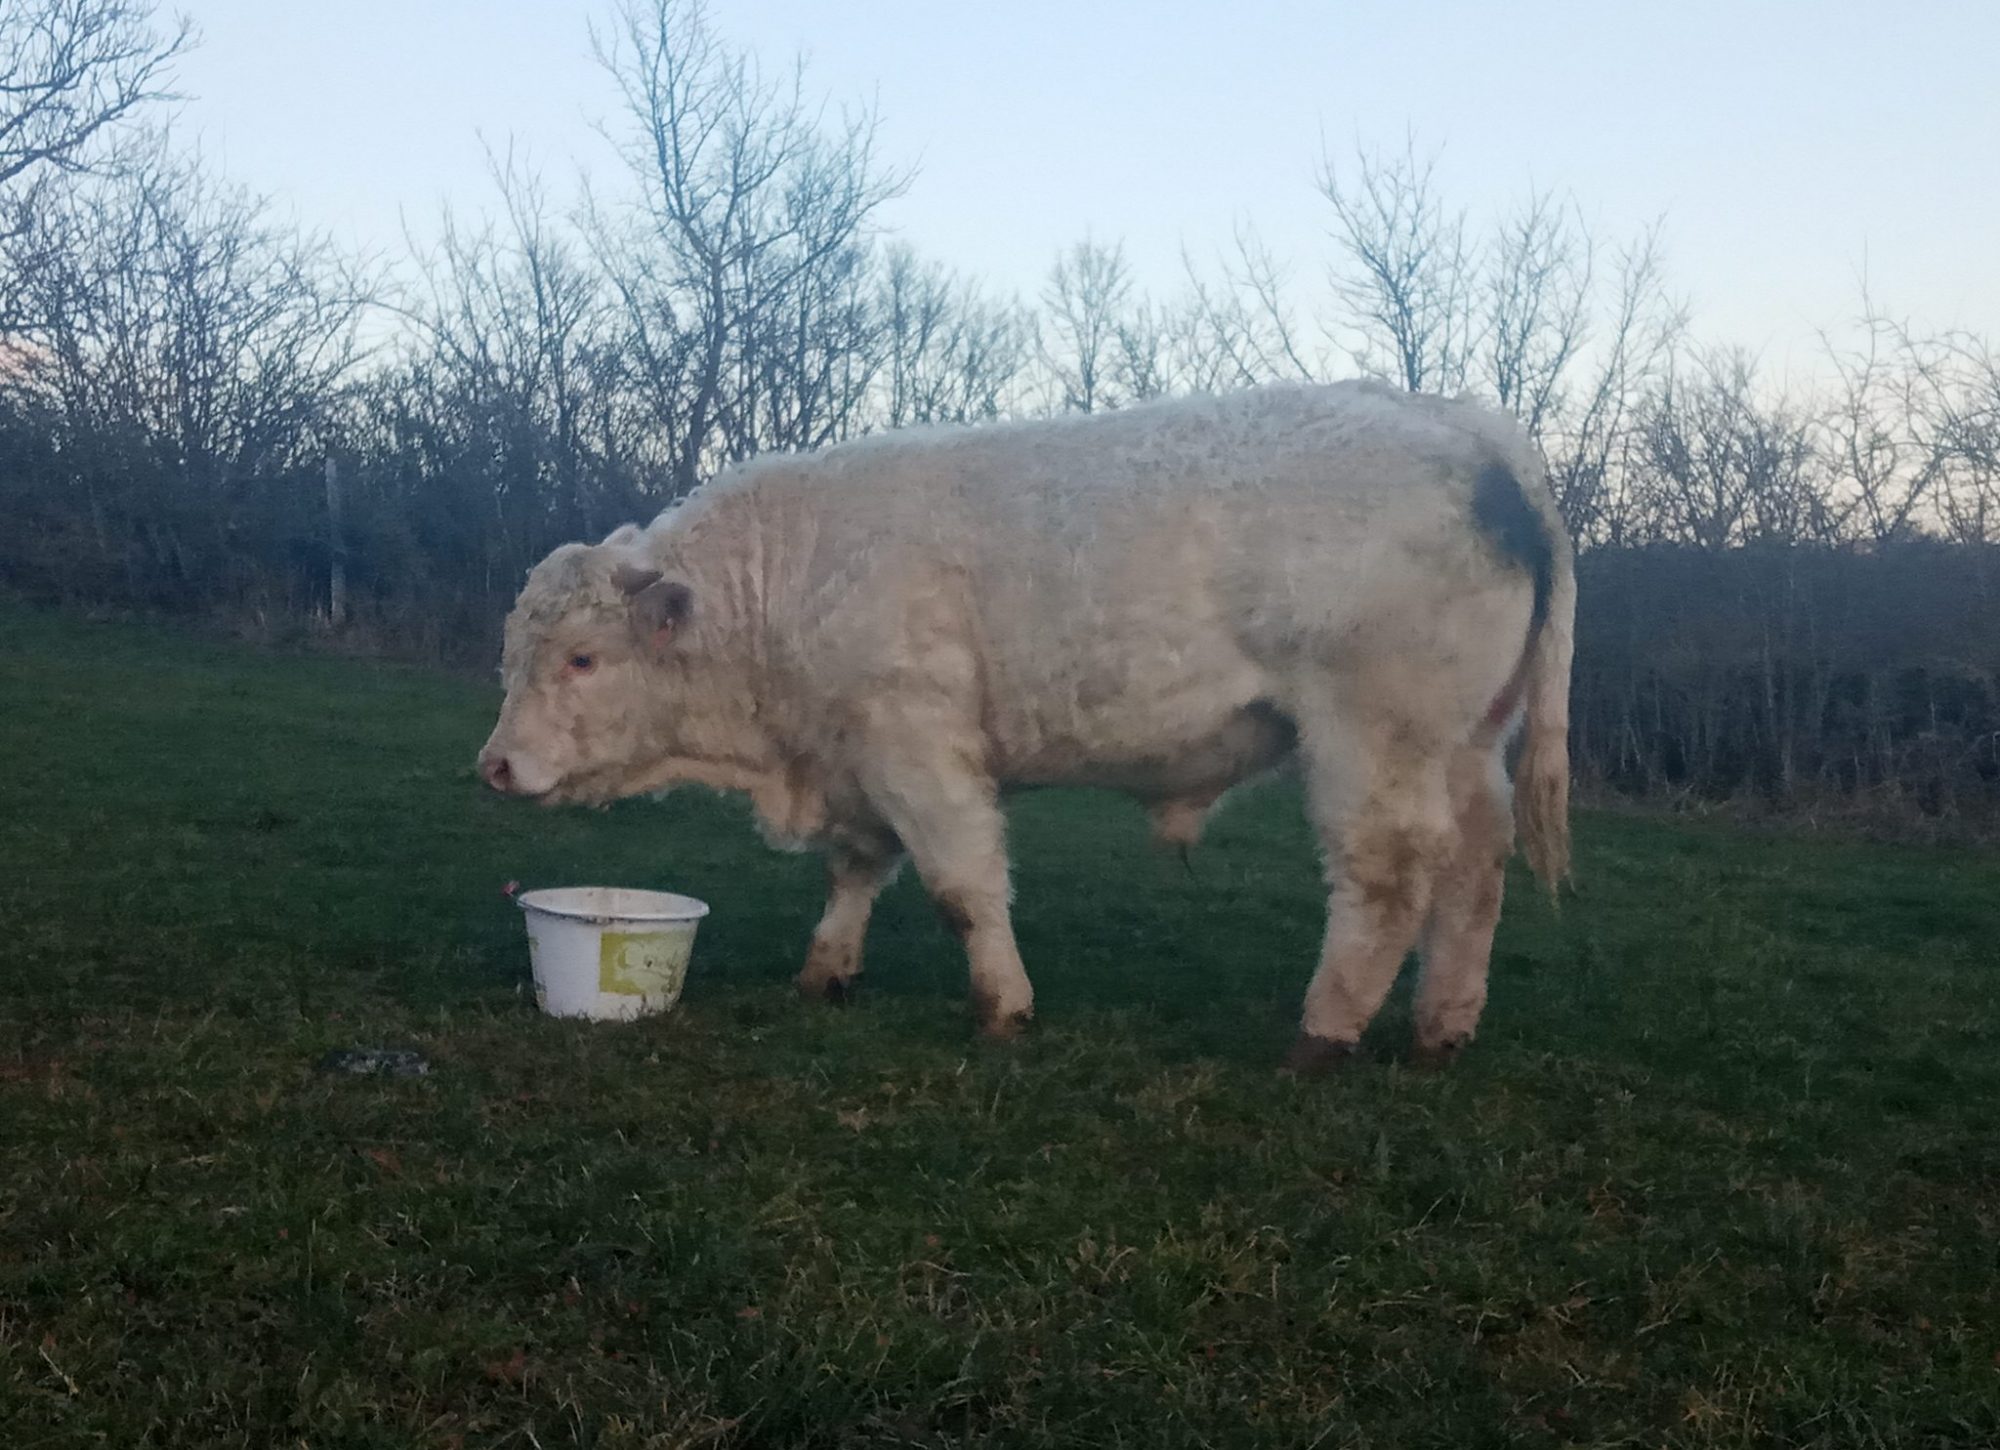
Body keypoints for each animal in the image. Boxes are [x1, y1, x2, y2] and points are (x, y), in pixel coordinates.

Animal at [476, 378, 1568, 1072]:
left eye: (581, 659)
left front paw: (1003, 1005)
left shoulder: (917, 743)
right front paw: (825, 971)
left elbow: (962, 886)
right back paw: (1438, 1030)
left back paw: (1323, 1034)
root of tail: (1468, 426)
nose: (494, 766)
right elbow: (856, 870)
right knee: (1475, 868)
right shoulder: (856, 753)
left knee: (1390, 875)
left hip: (1371, 734)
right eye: (513, 651)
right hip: (1467, 740)